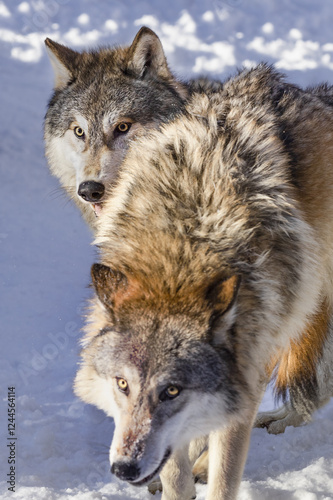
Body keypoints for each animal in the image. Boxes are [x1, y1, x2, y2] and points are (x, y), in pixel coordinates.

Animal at [73, 64, 332, 498]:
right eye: (122, 384)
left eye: (172, 390)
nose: (124, 468)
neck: (179, 257)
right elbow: (176, 473)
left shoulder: (248, 361)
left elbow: (224, 472)